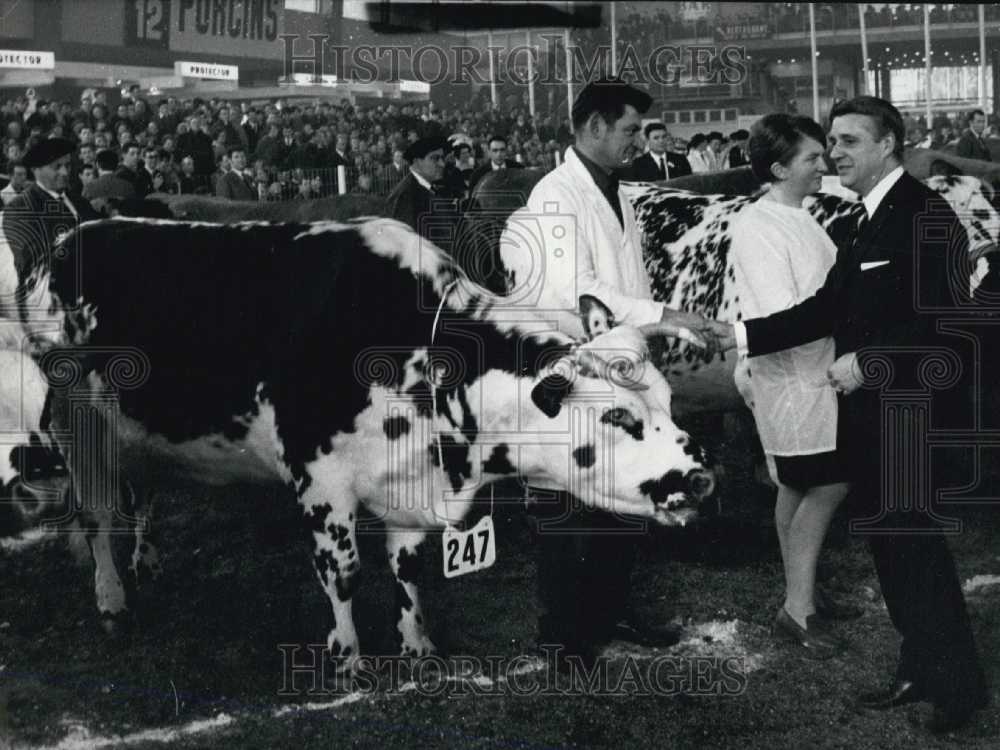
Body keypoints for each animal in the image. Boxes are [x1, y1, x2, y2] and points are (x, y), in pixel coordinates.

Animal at [19, 214, 716, 672]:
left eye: (666, 401)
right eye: (617, 417)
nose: (700, 476)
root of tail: (66, 239)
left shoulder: (406, 482)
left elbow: (408, 570)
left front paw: (417, 646)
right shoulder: (319, 480)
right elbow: (344, 571)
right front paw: (348, 657)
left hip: (136, 434)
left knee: (143, 491)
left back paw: (147, 559)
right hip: (78, 426)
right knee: (96, 513)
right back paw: (112, 598)